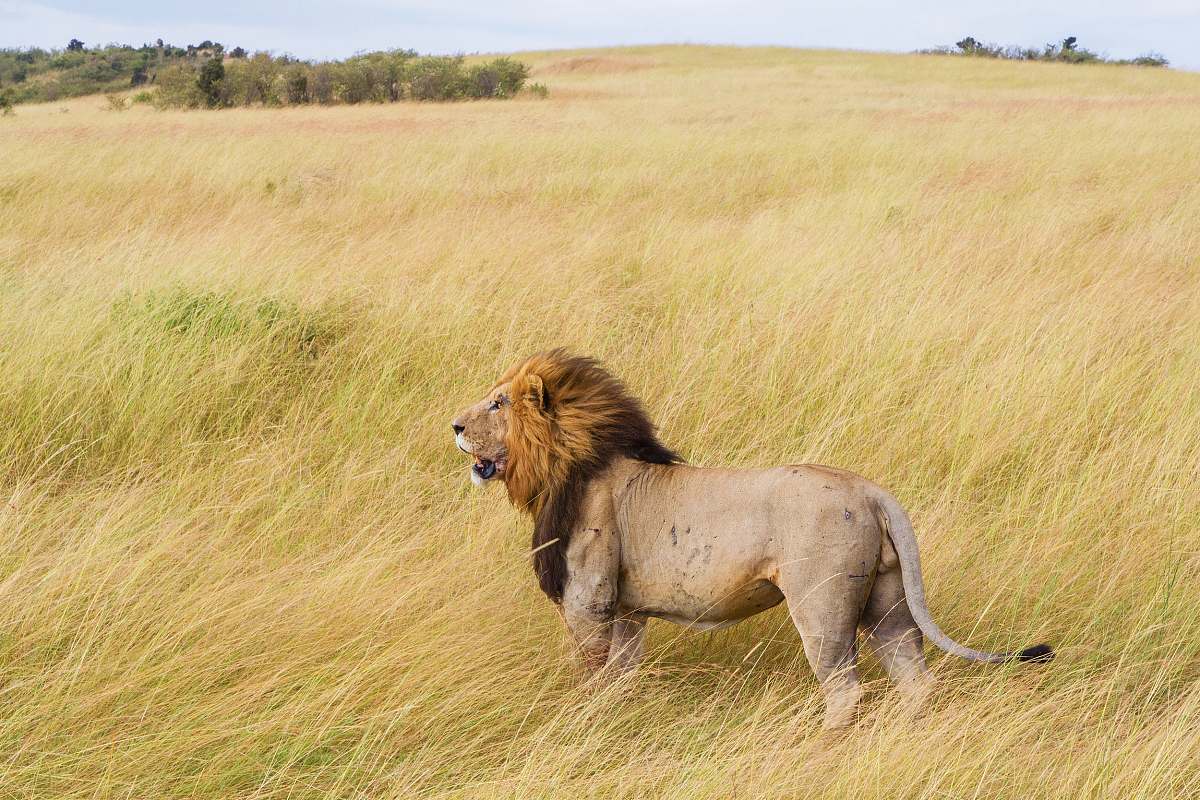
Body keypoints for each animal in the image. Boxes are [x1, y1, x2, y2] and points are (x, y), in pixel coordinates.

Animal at [451, 347, 1051, 729]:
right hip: (887, 603)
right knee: (915, 680)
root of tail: (871, 491)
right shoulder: (626, 610)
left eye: (499, 403)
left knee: (845, 689)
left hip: (821, 604)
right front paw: (615, 718)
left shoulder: (589, 600)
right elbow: (621, 678)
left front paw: (585, 721)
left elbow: (591, 675)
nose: (454, 426)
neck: (565, 466)